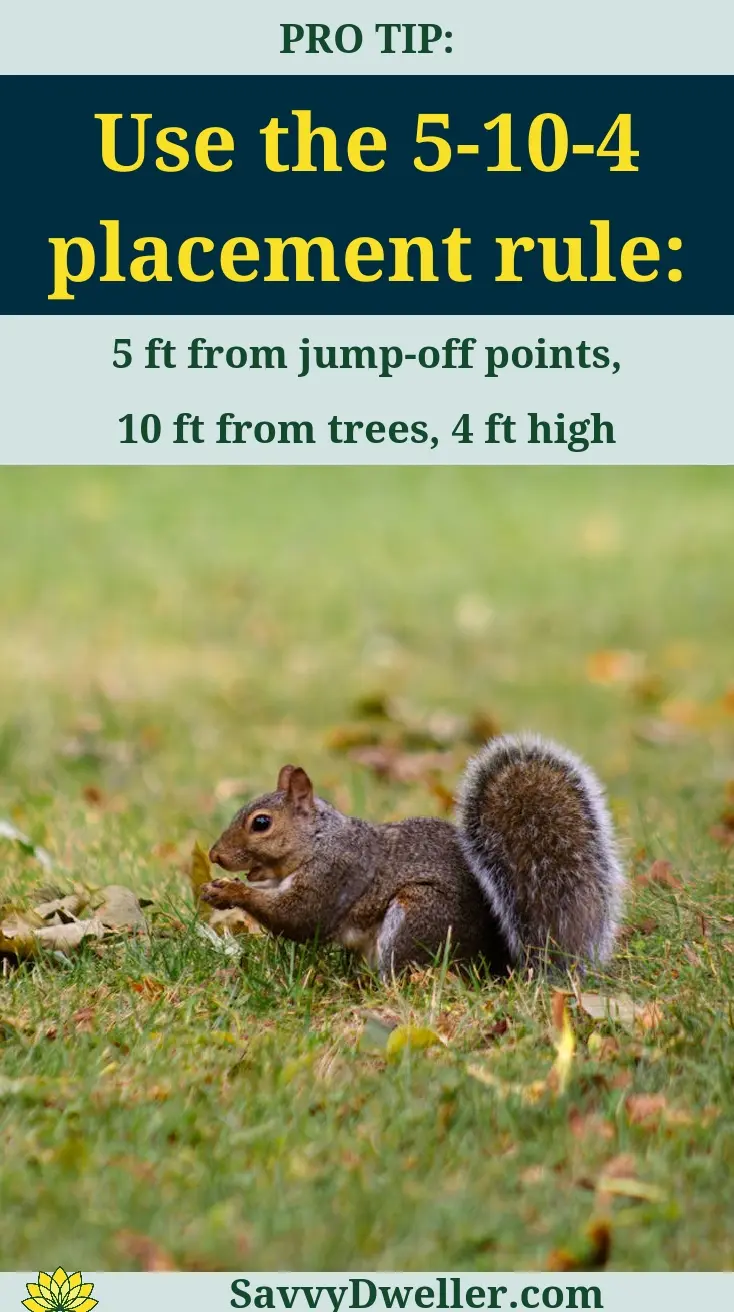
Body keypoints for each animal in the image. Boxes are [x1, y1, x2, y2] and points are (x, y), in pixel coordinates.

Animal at [201, 734, 624, 980]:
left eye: (261, 823)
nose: (215, 854)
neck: (319, 841)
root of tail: (495, 965)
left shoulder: (336, 873)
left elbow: (299, 918)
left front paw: (232, 893)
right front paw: (216, 891)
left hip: (418, 914)